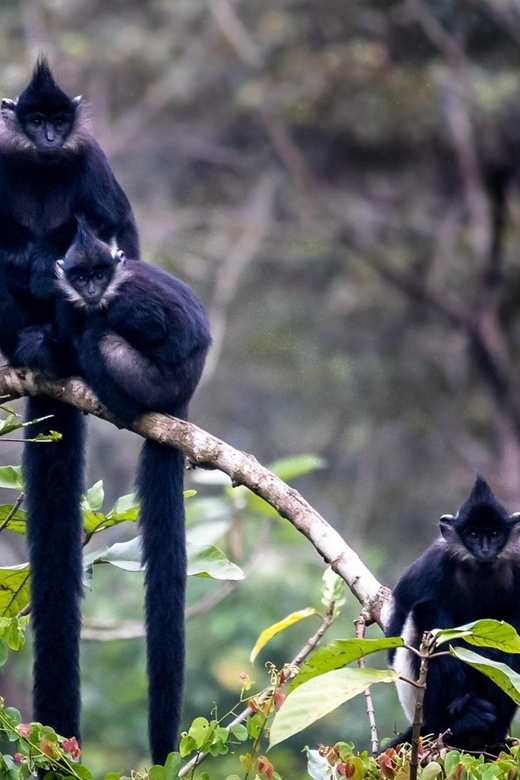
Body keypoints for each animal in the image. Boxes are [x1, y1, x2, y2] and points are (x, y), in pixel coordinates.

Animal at [50, 218, 209, 760]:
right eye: (81, 274)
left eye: (100, 274)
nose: (91, 290)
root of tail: (181, 400)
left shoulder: (129, 302)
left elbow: (146, 325)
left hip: (150, 381)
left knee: (101, 336)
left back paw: (117, 399)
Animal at [386, 478, 520, 752]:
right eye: (473, 534)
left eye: (494, 534)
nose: (484, 549)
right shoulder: (430, 567)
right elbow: (393, 645)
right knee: (427, 611)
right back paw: (460, 720)